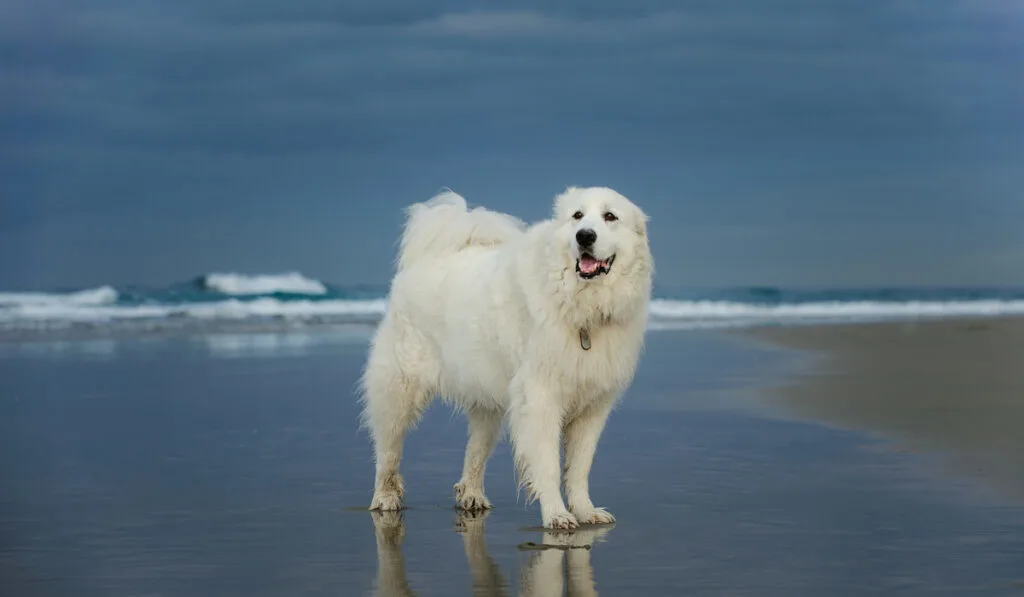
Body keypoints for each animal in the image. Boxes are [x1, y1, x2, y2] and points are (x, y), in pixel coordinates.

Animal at [360, 185, 647, 528]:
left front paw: (585, 511)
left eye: (610, 217)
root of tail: (426, 259)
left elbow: (579, 468)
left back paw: (471, 496)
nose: (584, 236)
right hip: (399, 390)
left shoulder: (593, 407)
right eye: (577, 216)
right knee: (388, 449)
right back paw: (385, 498)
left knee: (474, 452)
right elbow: (548, 465)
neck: (580, 307)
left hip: (486, 400)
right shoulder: (540, 400)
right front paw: (556, 515)